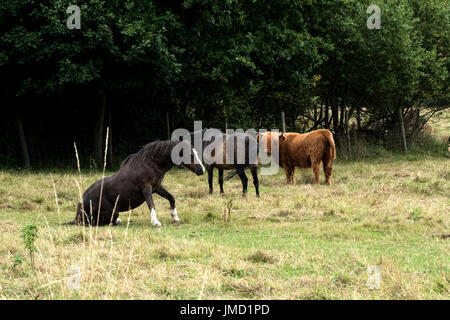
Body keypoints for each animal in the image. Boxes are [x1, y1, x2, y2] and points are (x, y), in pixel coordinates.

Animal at [67, 140, 205, 228]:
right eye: (190, 154)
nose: (202, 170)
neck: (151, 165)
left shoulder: (157, 187)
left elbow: (171, 198)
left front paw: (175, 218)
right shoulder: (146, 188)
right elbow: (151, 204)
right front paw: (155, 222)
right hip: (112, 212)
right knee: (96, 222)